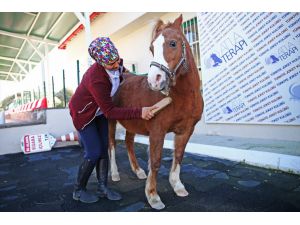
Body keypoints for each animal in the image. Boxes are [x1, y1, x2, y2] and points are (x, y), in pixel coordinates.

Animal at [108, 14, 204, 210]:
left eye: (173, 43)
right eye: (151, 48)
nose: (155, 81)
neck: (182, 96)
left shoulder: (186, 130)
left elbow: (178, 155)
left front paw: (177, 185)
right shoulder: (157, 131)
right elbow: (156, 161)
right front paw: (153, 196)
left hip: (132, 123)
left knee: (129, 143)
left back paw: (138, 171)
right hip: (111, 121)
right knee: (112, 145)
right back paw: (114, 173)